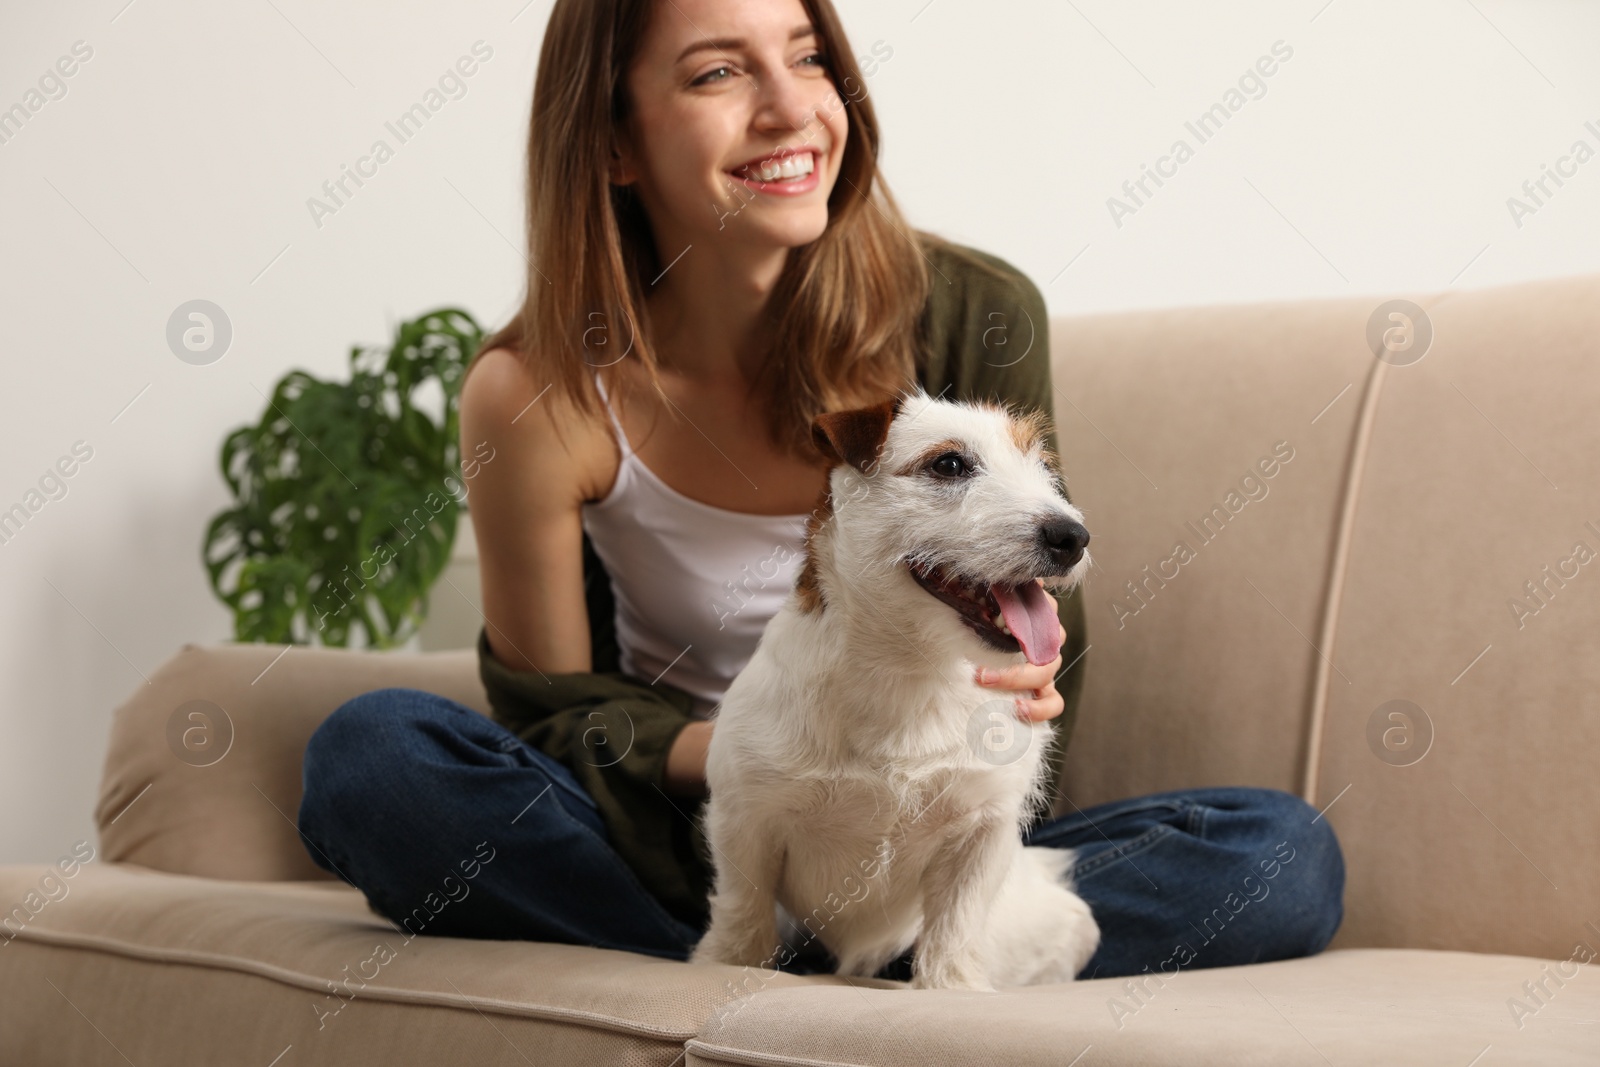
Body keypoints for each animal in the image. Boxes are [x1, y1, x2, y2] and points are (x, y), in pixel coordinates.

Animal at [688, 385, 1100, 991]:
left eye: (1042, 469)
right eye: (948, 464)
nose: (1072, 536)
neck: (909, 671)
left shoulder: (981, 833)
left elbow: (955, 925)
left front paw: (952, 990)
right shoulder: (746, 819)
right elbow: (744, 913)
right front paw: (723, 966)